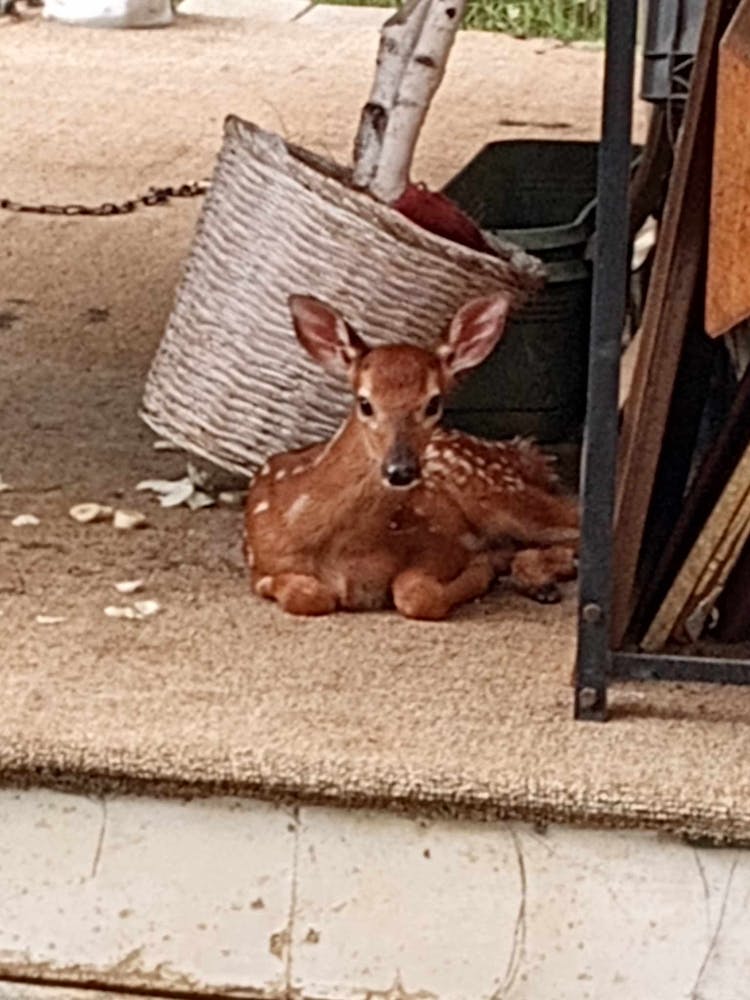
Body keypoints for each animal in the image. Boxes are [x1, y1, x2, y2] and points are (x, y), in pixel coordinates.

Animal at [244, 292, 579, 620]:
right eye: (365, 403)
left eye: (433, 403)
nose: (400, 470)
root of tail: (522, 454)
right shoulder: (261, 564)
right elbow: (307, 595)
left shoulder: (438, 540)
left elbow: (417, 595)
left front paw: (481, 568)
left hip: (499, 493)